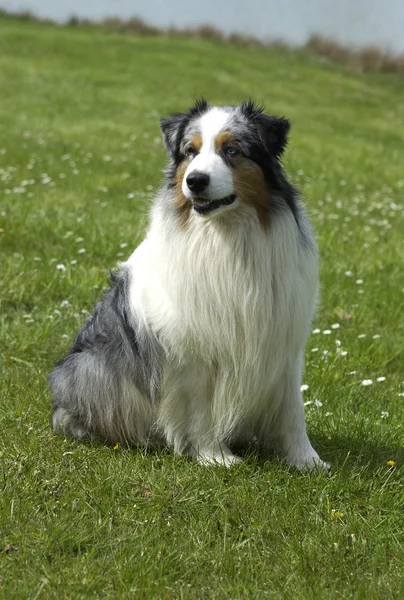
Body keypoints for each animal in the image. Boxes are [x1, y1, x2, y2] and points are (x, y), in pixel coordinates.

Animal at [50, 101, 328, 472]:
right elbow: (202, 409)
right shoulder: (193, 346)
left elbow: (292, 410)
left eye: (232, 150)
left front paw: (307, 460)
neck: (225, 235)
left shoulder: (284, 341)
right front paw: (215, 456)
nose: (194, 181)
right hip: (90, 367)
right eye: (190, 152)